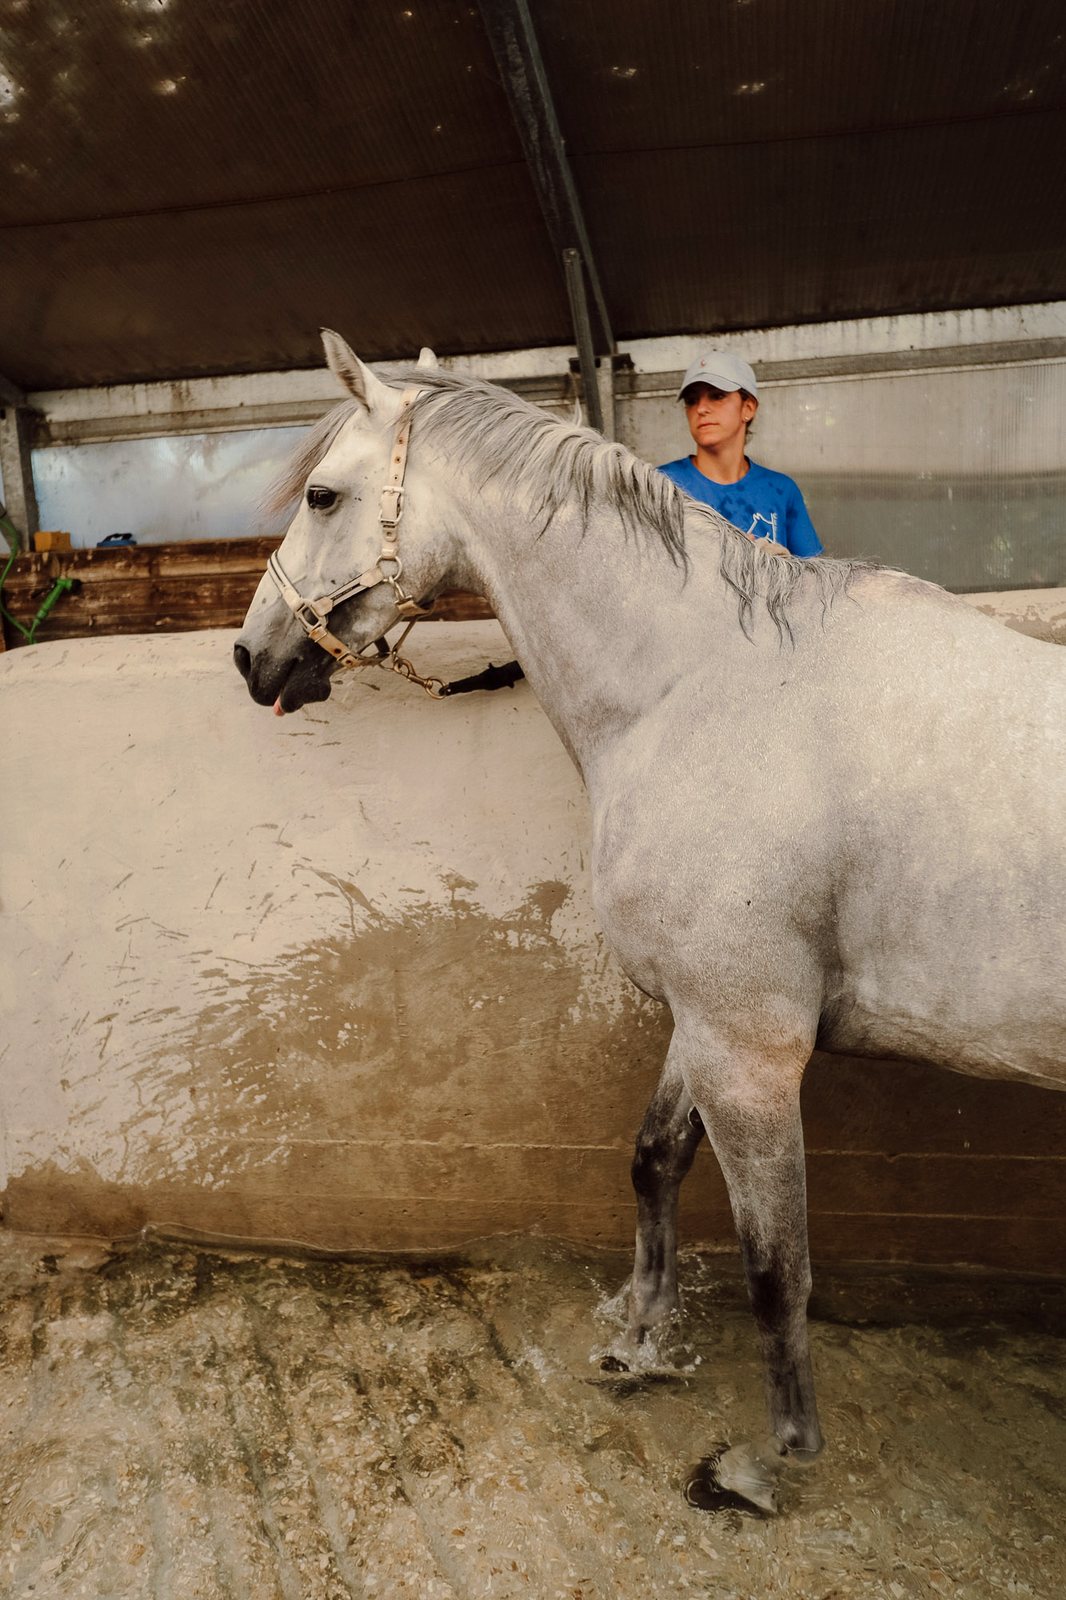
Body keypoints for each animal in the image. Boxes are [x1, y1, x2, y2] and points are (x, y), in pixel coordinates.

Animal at [234, 330, 1066, 1513]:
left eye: (321, 493)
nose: (253, 654)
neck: (712, 688)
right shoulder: (701, 1020)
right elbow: (654, 1161)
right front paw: (638, 1343)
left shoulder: (750, 1048)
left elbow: (775, 1262)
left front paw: (770, 1461)